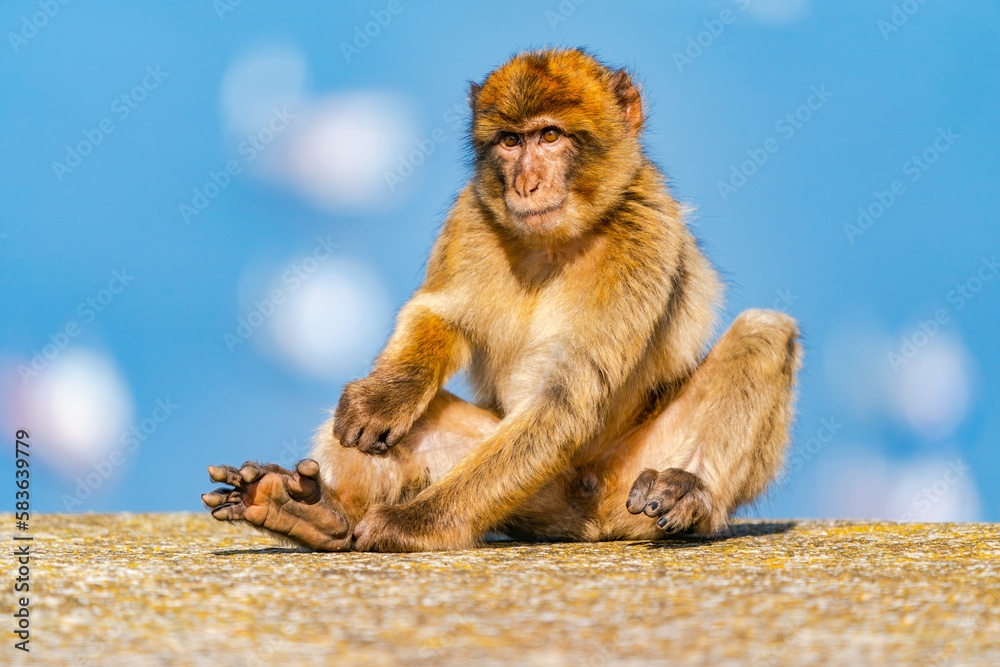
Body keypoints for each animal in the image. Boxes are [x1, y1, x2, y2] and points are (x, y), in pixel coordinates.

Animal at [202, 48, 802, 553]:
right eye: (511, 142)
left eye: (551, 135)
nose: (525, 185)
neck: (554, 241)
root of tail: (591, 521)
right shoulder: (472, 215)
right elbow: (440, 315)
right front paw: (385, 398)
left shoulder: (642, 234)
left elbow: (563, 400)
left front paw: (413, 523)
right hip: (530, 495)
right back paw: (315, 512)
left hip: (625, 477)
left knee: (766, 330)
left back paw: (689, 494)